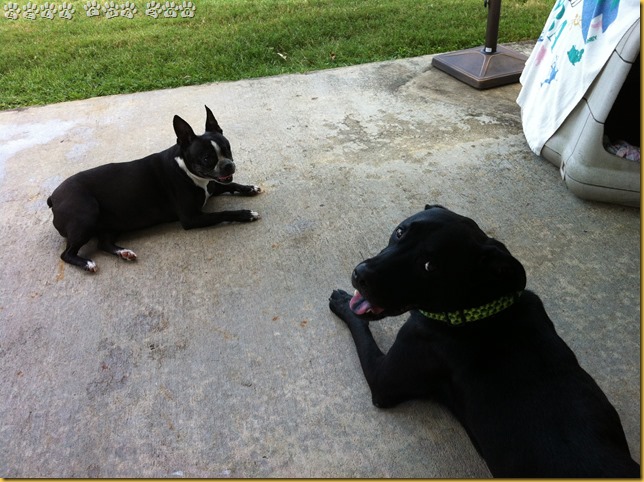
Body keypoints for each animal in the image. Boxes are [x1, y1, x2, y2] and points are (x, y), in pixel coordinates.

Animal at [45, 106, 262, 272]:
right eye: (207, 158)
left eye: (228, 149)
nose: (228, 165)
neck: (187, 170)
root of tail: (53, 197)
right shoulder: (191, 218)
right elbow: (223, 213)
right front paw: (246, 214)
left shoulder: (212, 187)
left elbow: (231, 185)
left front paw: (249, 187)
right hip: (87, 214)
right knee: (66, 254)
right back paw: (87, 263)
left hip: (111, 224)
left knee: (103, 243)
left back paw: (124, 252)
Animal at [330, 204, 640, 478]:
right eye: (400, 231)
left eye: (430, 266)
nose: (359, 274)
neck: (479, 309)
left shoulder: (385, 379)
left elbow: (360, 326)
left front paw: (343, 302)